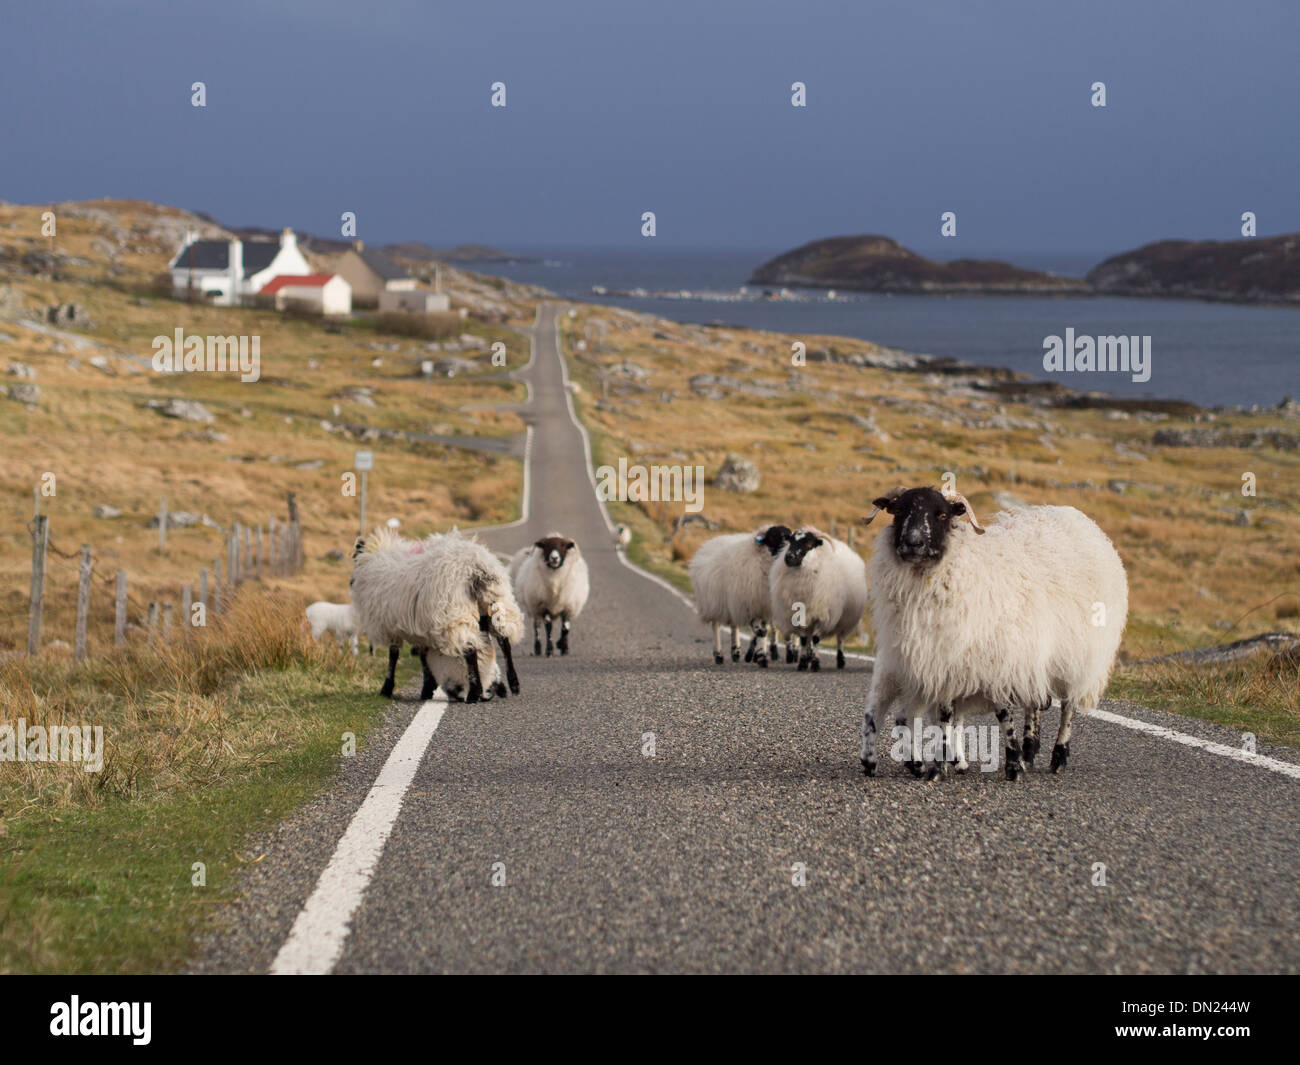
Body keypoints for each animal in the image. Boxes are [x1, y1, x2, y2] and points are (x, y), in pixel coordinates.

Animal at [353, 527, 525, 707]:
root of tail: (476, 566)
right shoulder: (421, 628)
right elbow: (423, 657)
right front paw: (427, 688)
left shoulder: (390, 627)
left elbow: (394, 656)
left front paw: (387, 689)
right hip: (496, 604)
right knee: (504, 641)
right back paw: (513, 684)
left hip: (455, 614)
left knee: (471, 650)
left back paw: (474, 693)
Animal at [691, 525, 790, 665]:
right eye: (772, 536)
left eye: (789, 536)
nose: (784, 550)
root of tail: (710, 542)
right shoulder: (750, 604)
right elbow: (761, 631)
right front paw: (761, 657)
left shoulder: (764, 606)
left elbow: (764, 631)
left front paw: (760, 655)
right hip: (714, 602)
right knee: (716, 626)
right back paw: (719, 655)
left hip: (732, 602)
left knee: (734, 626)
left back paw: (736, 651)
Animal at [764, 527, 868, 670]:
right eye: (791, 541)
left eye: (808, 543)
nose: (789, 557)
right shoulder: (800, 616)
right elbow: (803, 639)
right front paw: (803, 662)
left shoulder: (821, 615)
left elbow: (816, 639)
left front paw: (815, 663)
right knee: (809, 639)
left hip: (844, 619)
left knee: (840, 639)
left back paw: (840, 661)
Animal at [852, 486, 1128, 780]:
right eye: (899, 511)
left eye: (941, 514)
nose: (913, 542)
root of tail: (1073, 515)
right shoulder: (942, 663)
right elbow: (945, 716)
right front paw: (942, 764)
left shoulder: (994, 660)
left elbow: (1002, 714)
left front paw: (1011, 765)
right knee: (1033, 703)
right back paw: (1028, 751)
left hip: (1079, 654)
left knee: (1068, 707)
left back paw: (1058, 756)